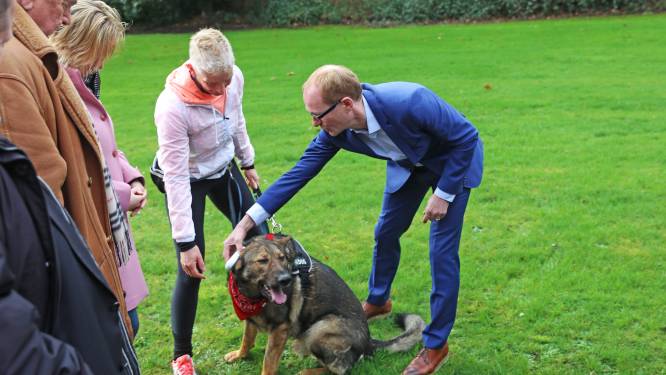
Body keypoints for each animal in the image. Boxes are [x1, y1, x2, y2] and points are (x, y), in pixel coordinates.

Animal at [224, 234, 426, 374]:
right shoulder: (251, 320)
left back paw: (308, 371)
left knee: (341, 369)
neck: (254, 298)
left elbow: (268, 362)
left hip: (317, 331)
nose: (286, 280)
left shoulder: (279, 330)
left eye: (282, 258)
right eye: (262, 261)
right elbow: (247, 340)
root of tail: (368, 341)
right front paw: (240, 355)